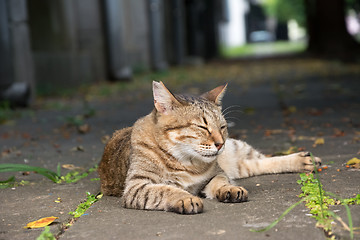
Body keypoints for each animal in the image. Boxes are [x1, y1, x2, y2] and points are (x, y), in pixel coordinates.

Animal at [97, 81, 320, 215]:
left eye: (222, 126)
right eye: (202, 126)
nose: (220, 143)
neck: (186, 161)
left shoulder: (216, 173)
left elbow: (221, 181)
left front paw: (229, 189)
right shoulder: (137, 186)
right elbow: (164, 189)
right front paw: (185, 198)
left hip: (237, 149)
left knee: (262, 159)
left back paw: (304, 160)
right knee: (255, 164)